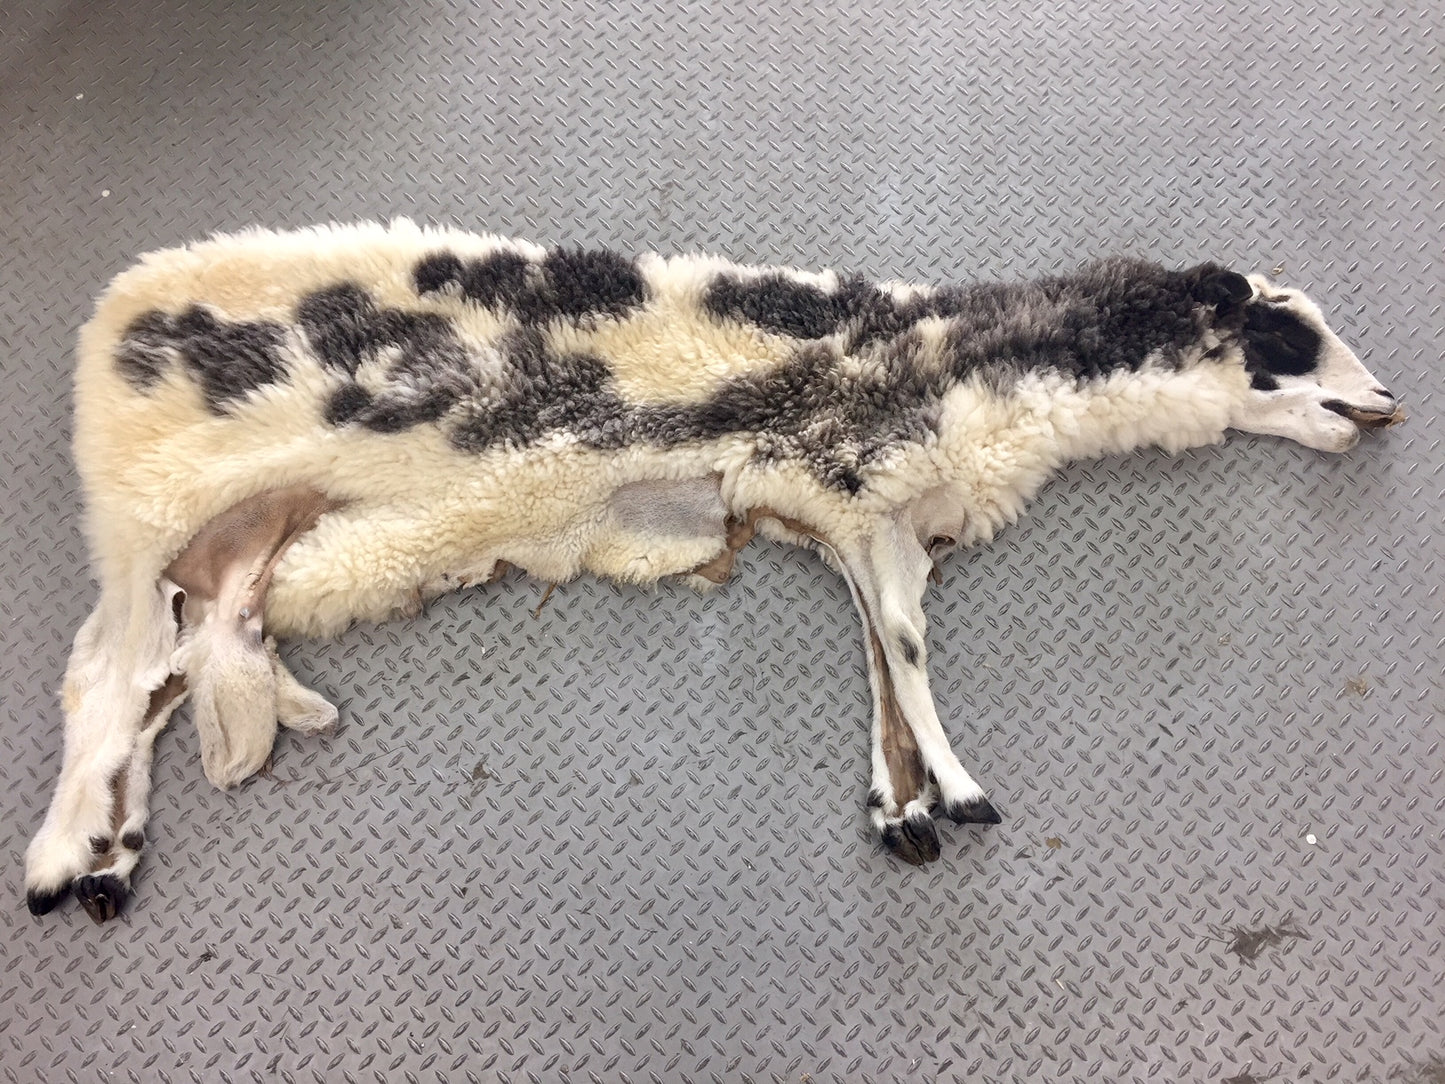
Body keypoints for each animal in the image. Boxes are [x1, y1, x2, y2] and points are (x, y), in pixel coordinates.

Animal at [24, 220, 1402, 922]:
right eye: (1285, 333)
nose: (1384, 403)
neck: (962, 355)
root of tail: (110, 315)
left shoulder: (862, 520)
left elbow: (880, 650)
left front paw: (901, 803)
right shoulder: (852, 477)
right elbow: (906, 652)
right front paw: (954, 791)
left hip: (255, 546)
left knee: (164, 674)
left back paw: (114, 850)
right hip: (145, 515)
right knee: (107, 675)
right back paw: (60, 856)